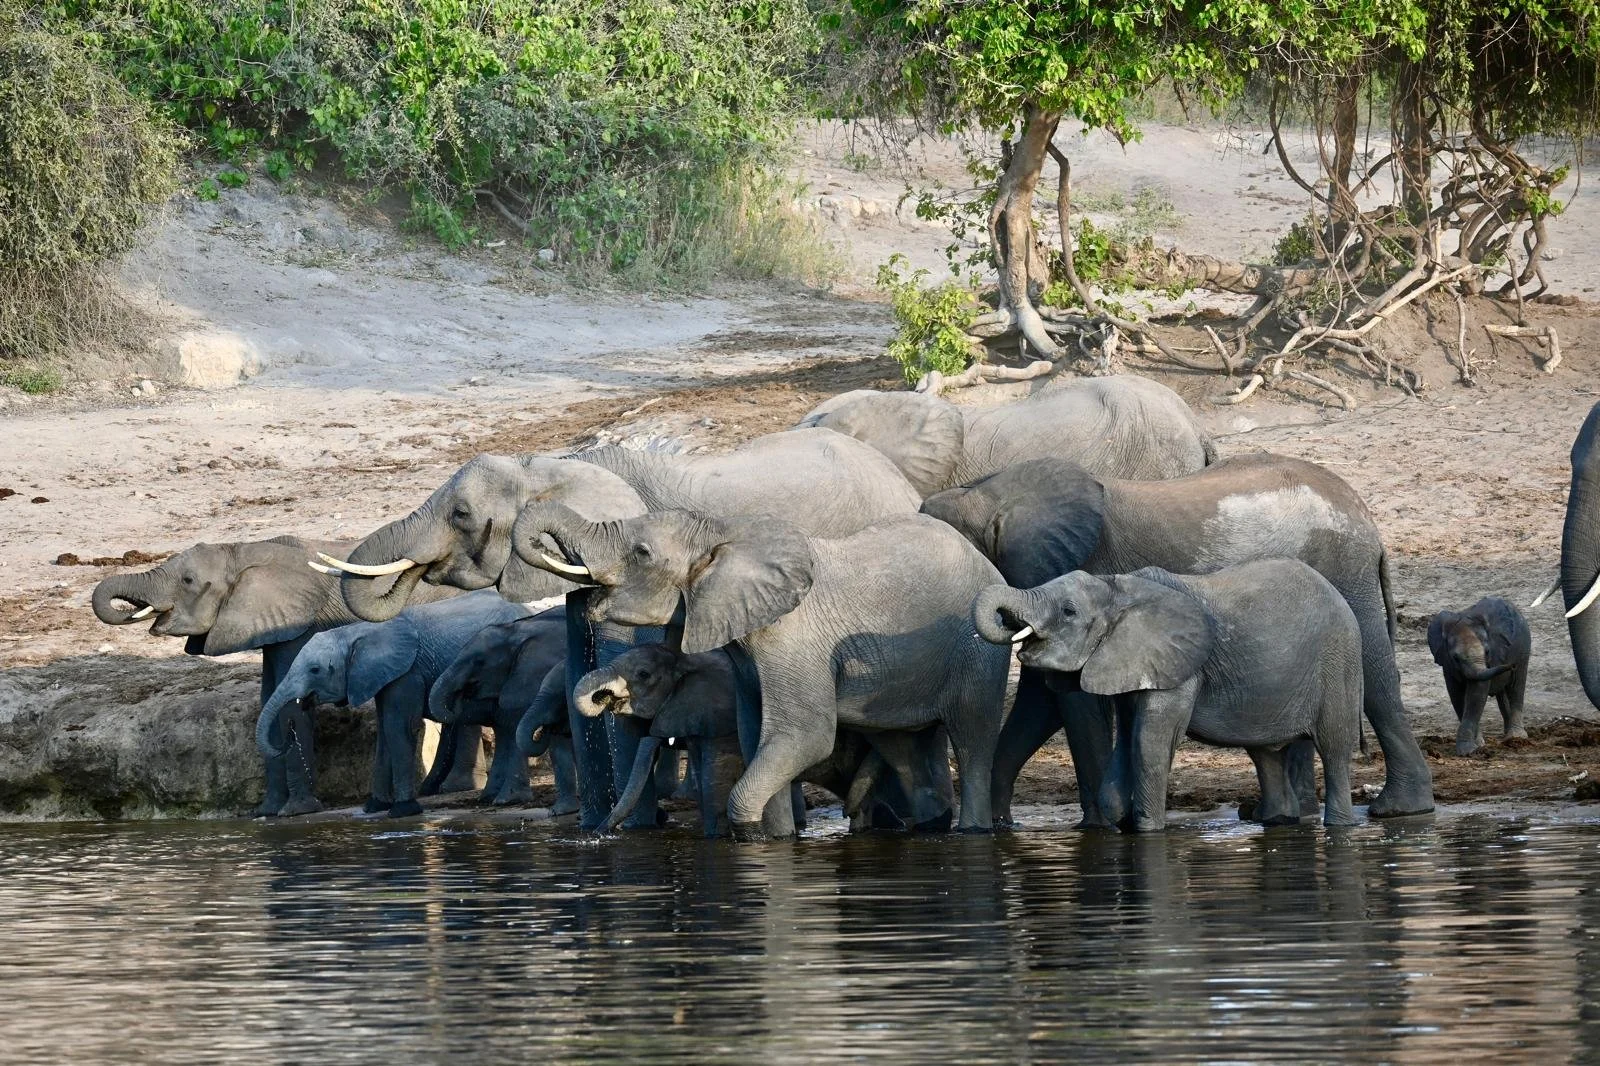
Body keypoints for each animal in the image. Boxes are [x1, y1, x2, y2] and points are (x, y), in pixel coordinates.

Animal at [90, 536, 463, 817]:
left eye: (188, 581)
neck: (242, 551)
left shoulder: (296, 622)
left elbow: (288, 705)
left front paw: (296, 811)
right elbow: (268, 696)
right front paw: (266, 812)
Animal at [257, 590, 530, 817]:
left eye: (315, 670)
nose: (289, 733)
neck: (355, 631)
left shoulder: (407, 673)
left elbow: (400, 727)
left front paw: (402, 811)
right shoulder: (380, 676)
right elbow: (384, 732)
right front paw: (375, 807)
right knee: (504, 726)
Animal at [975, 560, 1362, 830]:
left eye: (1069, 611)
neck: (1117, 587)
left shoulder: (1180, 667)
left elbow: (1149, 742)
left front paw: (1148, 829)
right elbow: (1127, 740)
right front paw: (1122, 821)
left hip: (1338, 663)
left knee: (1333, 747)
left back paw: (1339, 825)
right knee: (1264, 754)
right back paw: (1276, 821)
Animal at [1428, 597, 1532, 756]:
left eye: (1488, 652)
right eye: (1455, 658)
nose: (1511, 666)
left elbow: (1476, 693)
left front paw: (1468, 751)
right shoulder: (1447, 664)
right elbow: (1457, 696)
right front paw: (1476, 746)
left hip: (1524, 647)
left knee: (1516, 686)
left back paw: (1516, 738)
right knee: (1503, 694)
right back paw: (1509, 738)